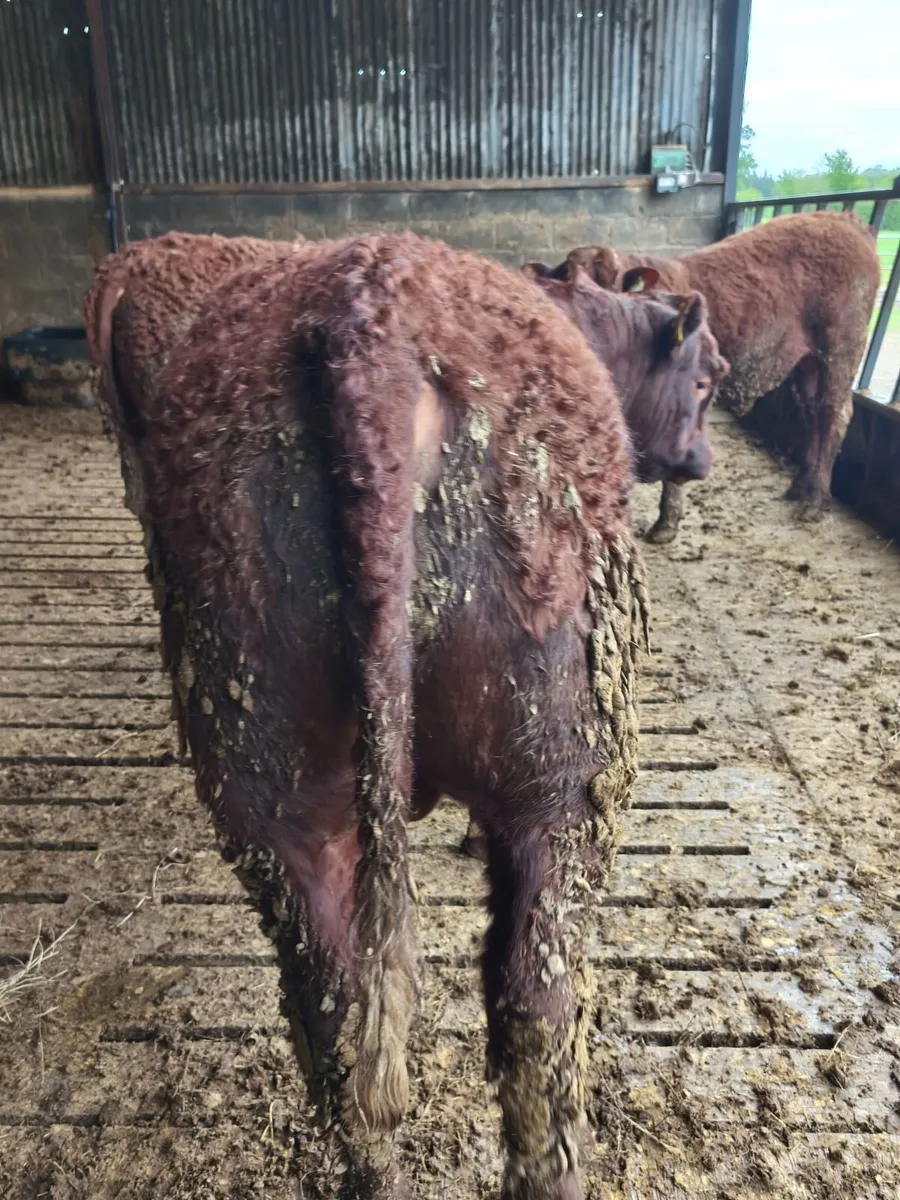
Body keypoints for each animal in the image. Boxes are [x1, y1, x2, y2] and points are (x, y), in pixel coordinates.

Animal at [553, 211, 882, 542]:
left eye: (610, 281)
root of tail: (847, 221)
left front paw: (666, 523)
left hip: (840, 352)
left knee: (831, 417)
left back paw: (814, 501)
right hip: (808, 363)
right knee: (814, 416)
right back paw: (800, 487)